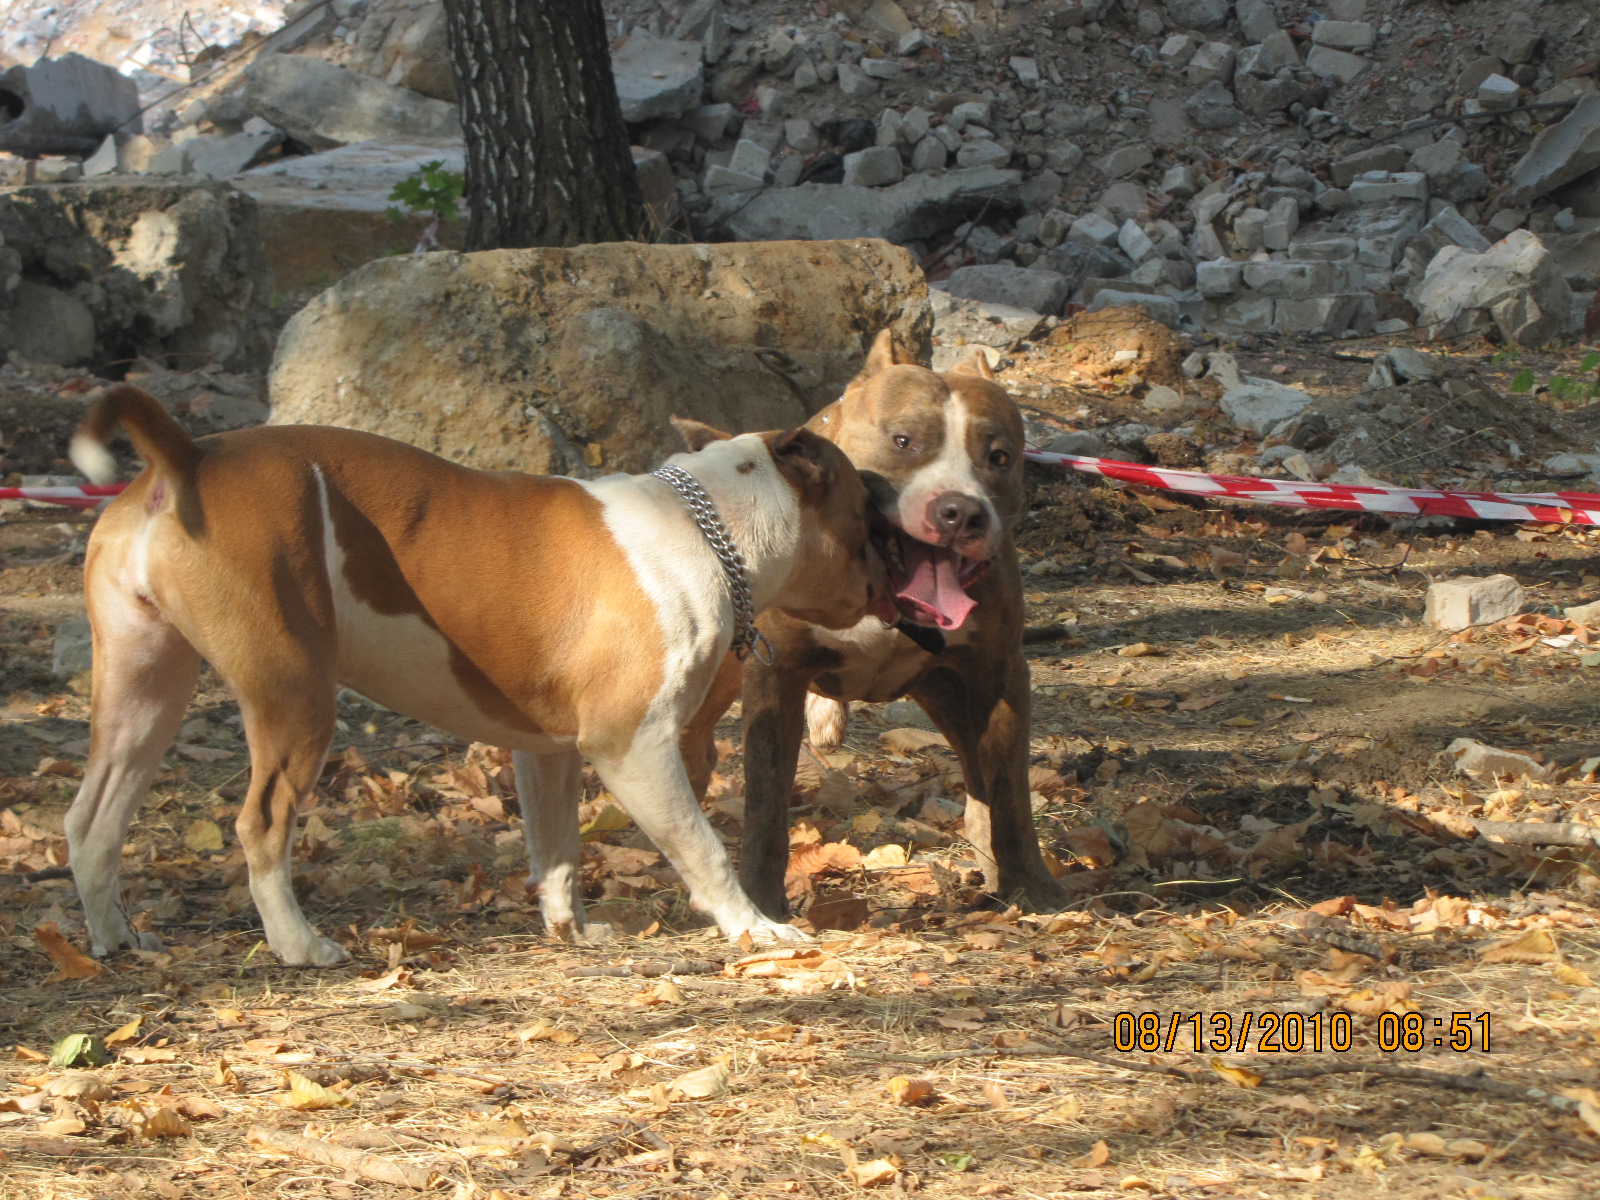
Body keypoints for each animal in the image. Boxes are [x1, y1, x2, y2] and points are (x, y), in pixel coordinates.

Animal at [64, 386, 893, 965]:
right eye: (868, 515)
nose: (897, 533)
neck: (708, 523)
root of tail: (190, 458)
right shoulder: (633, 747)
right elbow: (704, 849)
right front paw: (756, 928)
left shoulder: (546, 752)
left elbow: (557, 850)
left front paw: (570, 930)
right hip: (293, 694)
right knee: (260, 823)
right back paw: (298, 945)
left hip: (144, 694)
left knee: (92, 818)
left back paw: (113, 936)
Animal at [702, 330, 1069, 920]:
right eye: (903, 441)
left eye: (999, 457)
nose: (961, 511)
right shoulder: (774, 676)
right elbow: (766, 799)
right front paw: (759, 900)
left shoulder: (997, 671)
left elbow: (1009, 789)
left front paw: (1032, 886)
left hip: (948, 692)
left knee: (977, 775)